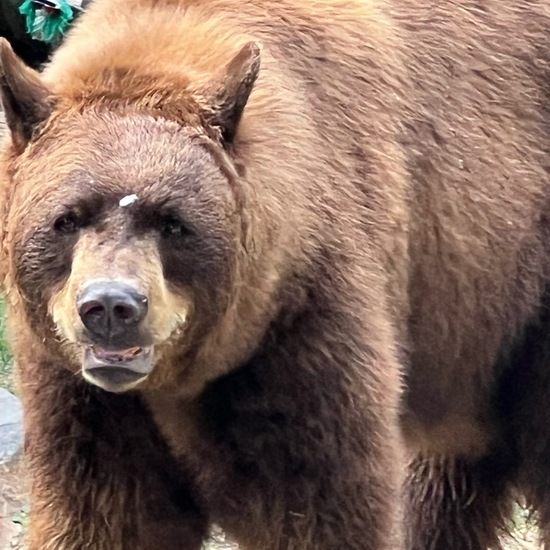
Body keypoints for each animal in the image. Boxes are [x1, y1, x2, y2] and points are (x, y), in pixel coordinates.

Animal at [1, 0, 550, 548]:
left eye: (173, 221)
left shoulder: (305, 321)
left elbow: (321, 503)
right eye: (68, 218)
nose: (112, 306)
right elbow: (106, 512)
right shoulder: (82, 396)